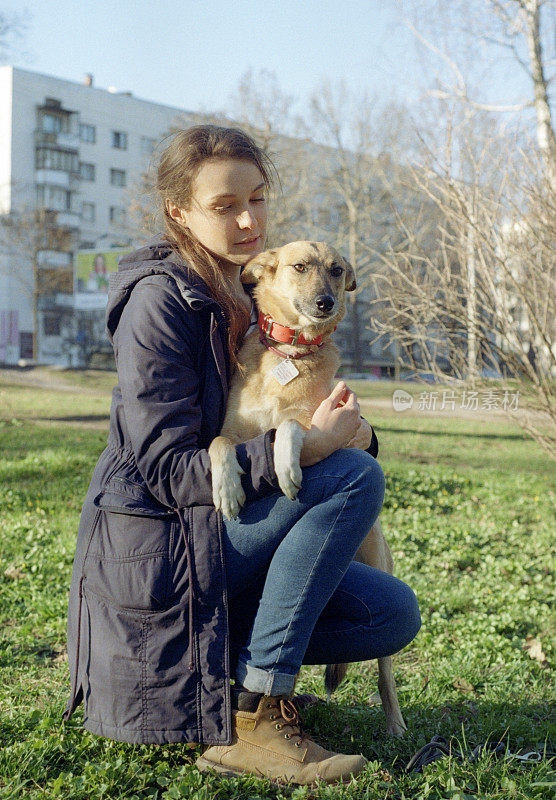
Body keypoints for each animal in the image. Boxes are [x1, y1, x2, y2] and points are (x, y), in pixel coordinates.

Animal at [207, 241, 404, 736]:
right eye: (299, 267)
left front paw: (286, 465)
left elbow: (292, 425)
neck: (289, 354)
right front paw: (228, 489)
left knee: (385, 671)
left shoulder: (320, 421)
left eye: (336, 271)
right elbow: (220, 443)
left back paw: (395, 723)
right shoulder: (231, 431)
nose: (325, 303)